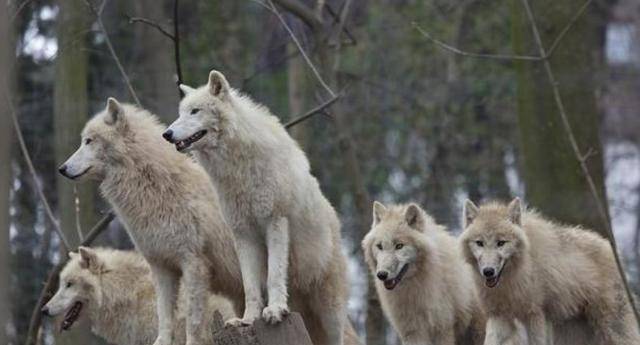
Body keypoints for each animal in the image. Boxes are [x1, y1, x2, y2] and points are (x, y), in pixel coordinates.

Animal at [161, 70, 350, 344]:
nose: (167, 134)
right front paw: (248, 319)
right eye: (181, 112)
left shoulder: (275, 221)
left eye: (195, 111)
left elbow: (274, 276)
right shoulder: (243, 233)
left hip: (330, 311)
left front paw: (275, 310)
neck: (237, 169)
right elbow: (250, 285)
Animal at [460, 198, 640, 342]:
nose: (488, 271)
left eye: (501, 243)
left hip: (611, 326)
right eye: (479, 243)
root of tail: (609, 246)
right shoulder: (499, 317)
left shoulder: (535, 315)